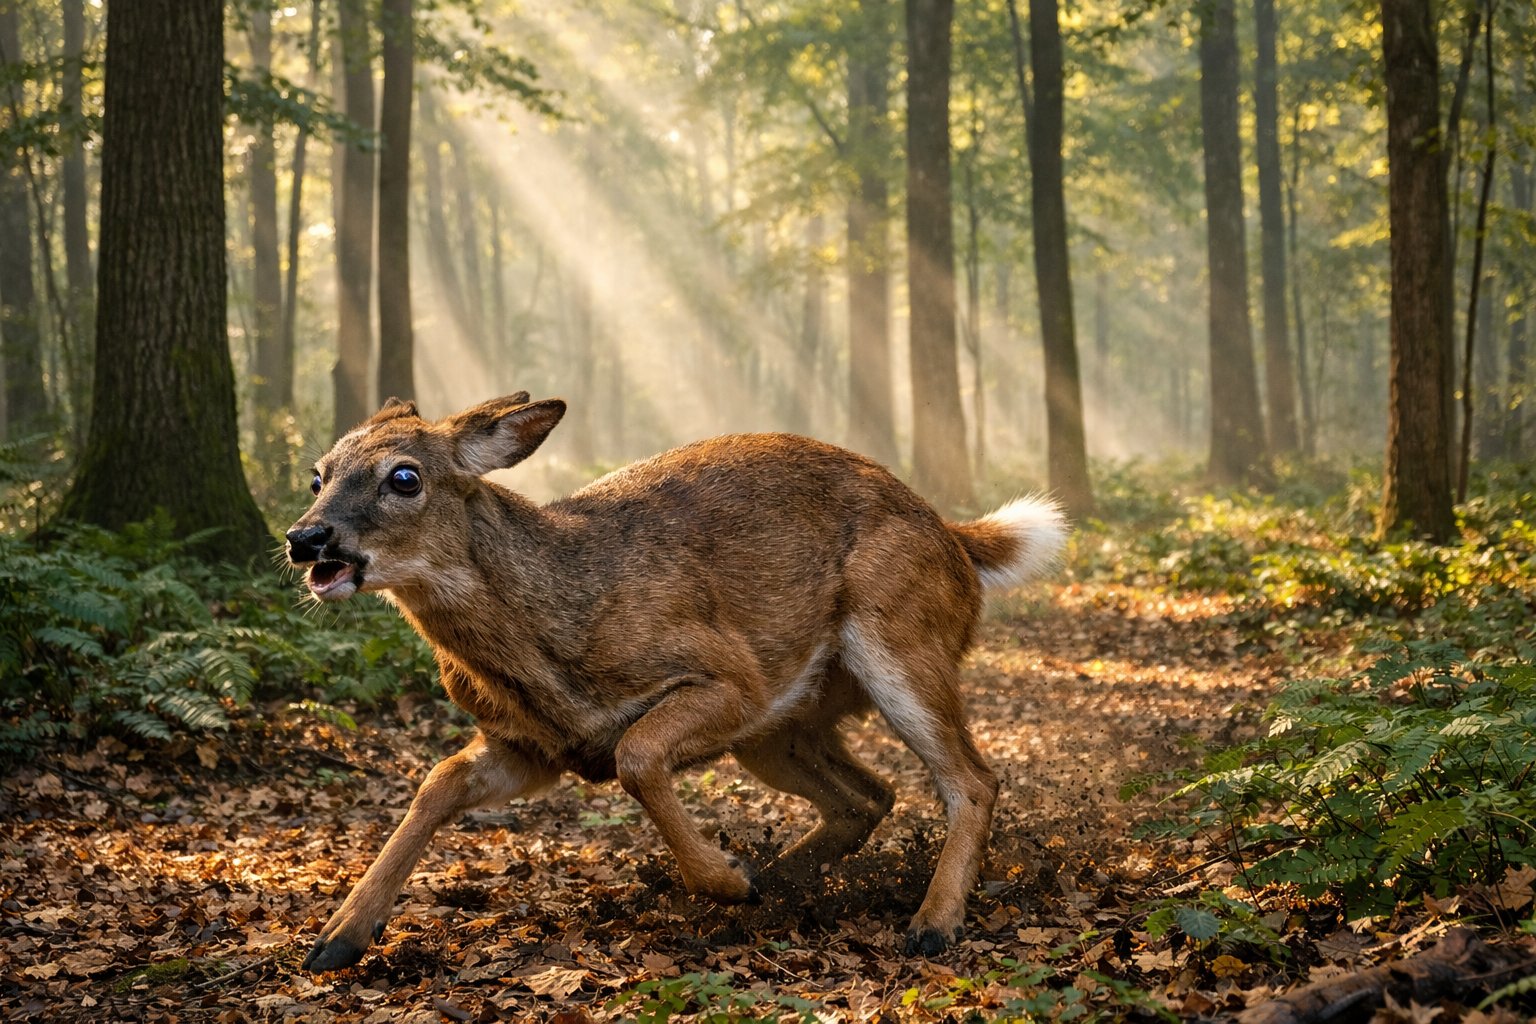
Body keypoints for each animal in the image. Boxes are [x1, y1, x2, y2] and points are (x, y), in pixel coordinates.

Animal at [285, 393, 1067, 972]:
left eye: (405, 476)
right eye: (319, 475)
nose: (305, 538)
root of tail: (954, 537)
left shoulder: (730, 676)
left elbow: (636, 753)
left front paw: (722, 879)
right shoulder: (532, 744)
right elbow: (438, 779)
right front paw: (337, 937)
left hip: (898, 636)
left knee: (971, 778)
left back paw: (930, 925)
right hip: (781, 728)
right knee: (870, 794)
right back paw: (780, 880)